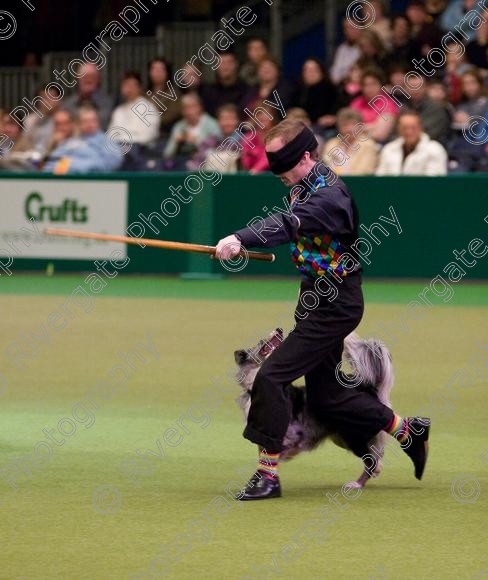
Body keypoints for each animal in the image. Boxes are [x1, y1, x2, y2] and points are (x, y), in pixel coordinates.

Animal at [234, 328, 394, 488]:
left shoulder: (290, 433)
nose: (279, 329)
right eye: (261, 342)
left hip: (352, 436)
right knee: (374, 457)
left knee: (372, 462)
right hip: (342, 438)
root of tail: (366, 386)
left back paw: (357, 484)